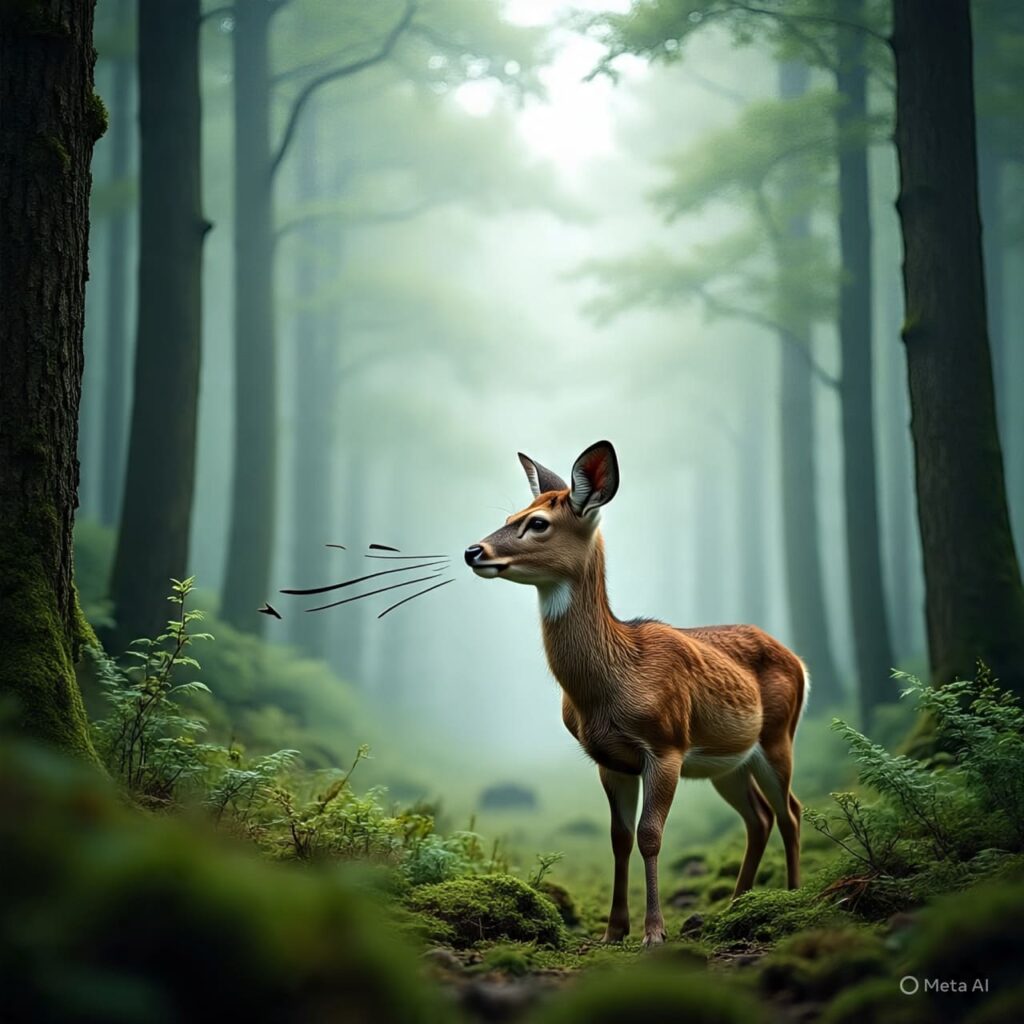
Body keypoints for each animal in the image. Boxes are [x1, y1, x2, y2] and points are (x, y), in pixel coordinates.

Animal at [464, 440, 808, 947]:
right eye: (511, 514)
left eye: (538, 522)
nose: (473, 550)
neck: (612, 684)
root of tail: (799, 661)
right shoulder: (609, 759)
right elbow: (619, 837)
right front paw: (613, 930)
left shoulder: (666, 745)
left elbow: (650, 835)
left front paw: (653, 932)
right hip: (729, 761)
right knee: (760, 817)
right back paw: (734, 906)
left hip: (777, 736)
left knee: (791, 812)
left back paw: (793, 898)